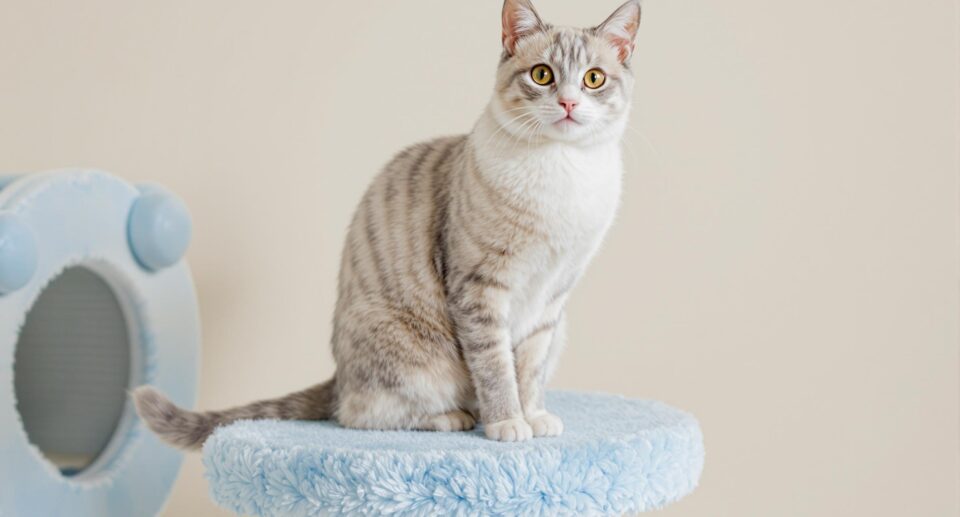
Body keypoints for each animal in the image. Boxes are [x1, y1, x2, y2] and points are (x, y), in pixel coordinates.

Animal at [135, 0, 640, 446]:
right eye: (542, 75)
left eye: (593, 79)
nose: (569, 103)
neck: (564, 174)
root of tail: (337, 375)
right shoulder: (480, 290)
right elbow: (497, 369)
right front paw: (508, 423)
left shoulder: (551, 299)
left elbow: (529, 371)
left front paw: (533, 416)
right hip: (418, 357)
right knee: (360, 414)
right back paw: (454, 418)